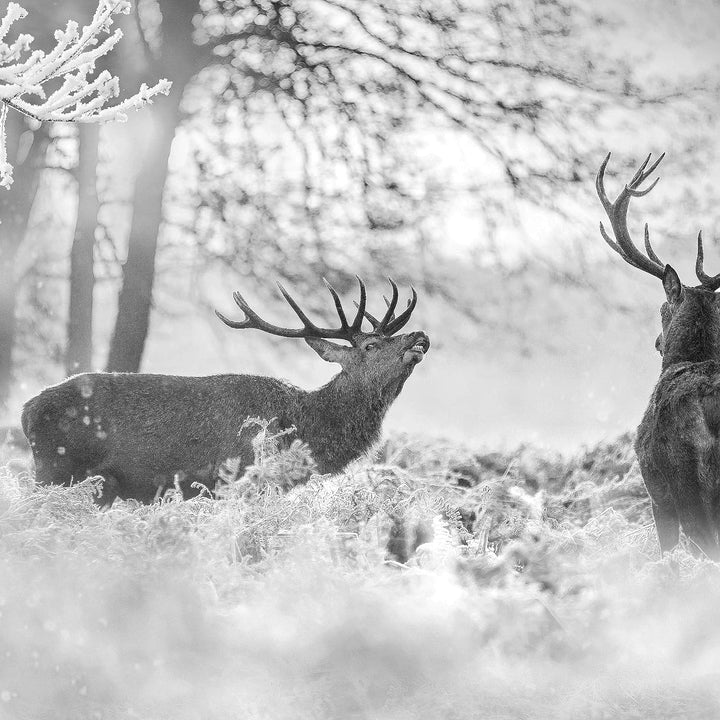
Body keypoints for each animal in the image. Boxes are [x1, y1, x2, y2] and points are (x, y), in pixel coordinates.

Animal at [21, 278, 430, 506]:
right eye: (370, 346)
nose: (420, 336)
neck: (305, 428)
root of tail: (25, 412)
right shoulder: (240, 477)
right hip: (56, 469)